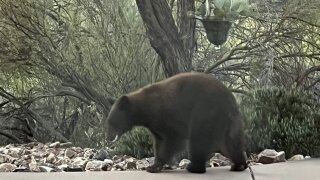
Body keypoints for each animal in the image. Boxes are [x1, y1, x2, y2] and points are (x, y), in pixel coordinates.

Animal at [105, 71, 248, 173]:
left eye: (112, 122)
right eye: (108, 122)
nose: (108, 138)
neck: (145, 109)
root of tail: (230, 100)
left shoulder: (166, 116)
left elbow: (171, 139)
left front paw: (155, 166)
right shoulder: (154, 124)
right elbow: (159, 140)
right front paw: (153, 165)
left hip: (204, 113)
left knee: (198, 141)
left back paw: (194, 167)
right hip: (227, 122)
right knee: (230, 143)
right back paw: (239, 165)